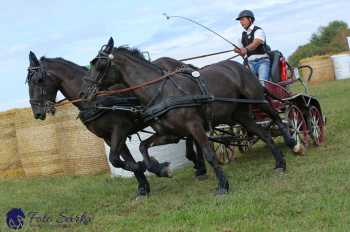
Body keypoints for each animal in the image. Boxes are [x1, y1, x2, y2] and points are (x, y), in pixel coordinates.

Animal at [27, 51, 206, 198]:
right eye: (28, 82)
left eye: (39, 80)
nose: (37, 113)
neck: (96, 99)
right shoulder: (109, 137)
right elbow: (123, 160)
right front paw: (143, 186)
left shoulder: (120, 130)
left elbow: (114, 159)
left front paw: (149, 167)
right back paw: (197, 164)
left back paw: (200, 167)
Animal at [80, 38, 304, 194]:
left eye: (99, 65)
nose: (84, 93)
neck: (161, 91)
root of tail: (240, 66)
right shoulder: (170, 134)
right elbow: (143, 147)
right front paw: (161, 169)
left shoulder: (194, 126)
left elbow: (209, 154)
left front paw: (223, 185)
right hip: (240, 115)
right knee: (263, 134)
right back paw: (280, 164)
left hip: (257, 100)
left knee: (277, 117)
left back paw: (294, 142)